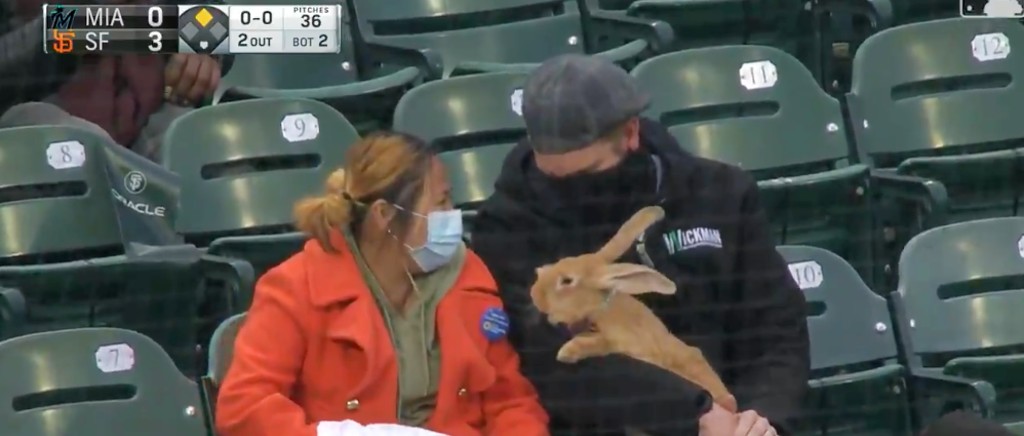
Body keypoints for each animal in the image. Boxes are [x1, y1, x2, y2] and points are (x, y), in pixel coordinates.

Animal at [528, 205, 737, 413]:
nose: (535, 294)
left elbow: (600, 344)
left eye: (567, 281)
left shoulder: (623, 343)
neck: (598, 312)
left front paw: (567, 352)